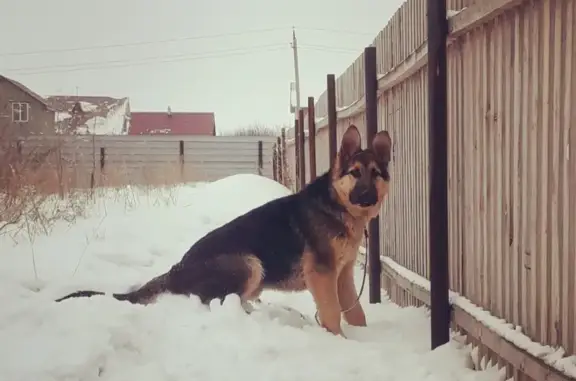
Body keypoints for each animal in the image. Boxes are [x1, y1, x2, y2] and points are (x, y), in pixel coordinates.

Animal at [57, 124, 392, 336]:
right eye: (355, 173)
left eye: (376, 174)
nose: (367, 197)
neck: (337, 205)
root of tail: (177, 268)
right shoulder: (322, 275)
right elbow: (333, 313)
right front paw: (339, 341)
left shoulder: (343, 275)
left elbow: (355, 311)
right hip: (249, 263)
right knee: (216, 301)